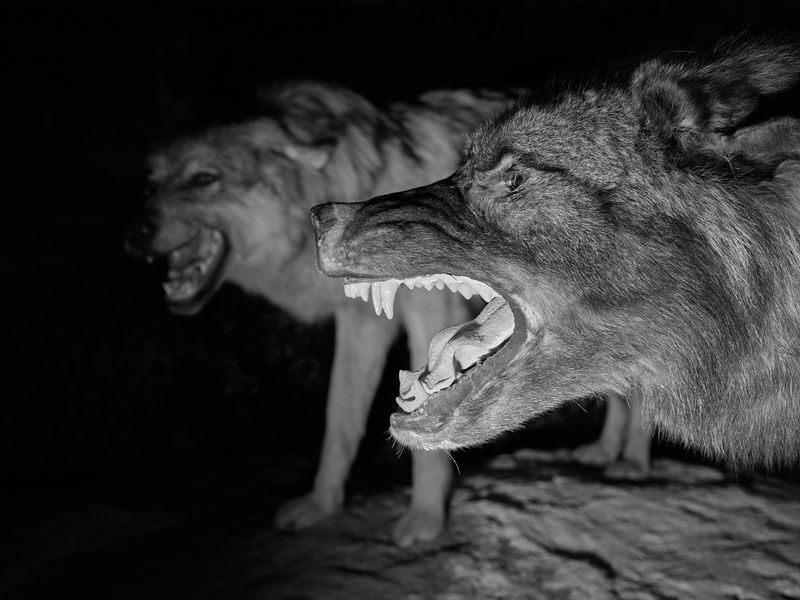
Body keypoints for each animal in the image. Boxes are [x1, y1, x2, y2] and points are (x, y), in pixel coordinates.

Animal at [124, 81, 512, 545]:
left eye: (205, 179)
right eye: (150, 187)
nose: (133, 232)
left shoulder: (432, 310)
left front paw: (424, 517)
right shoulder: (361, 324)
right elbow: (339, 420)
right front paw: (322, 505)